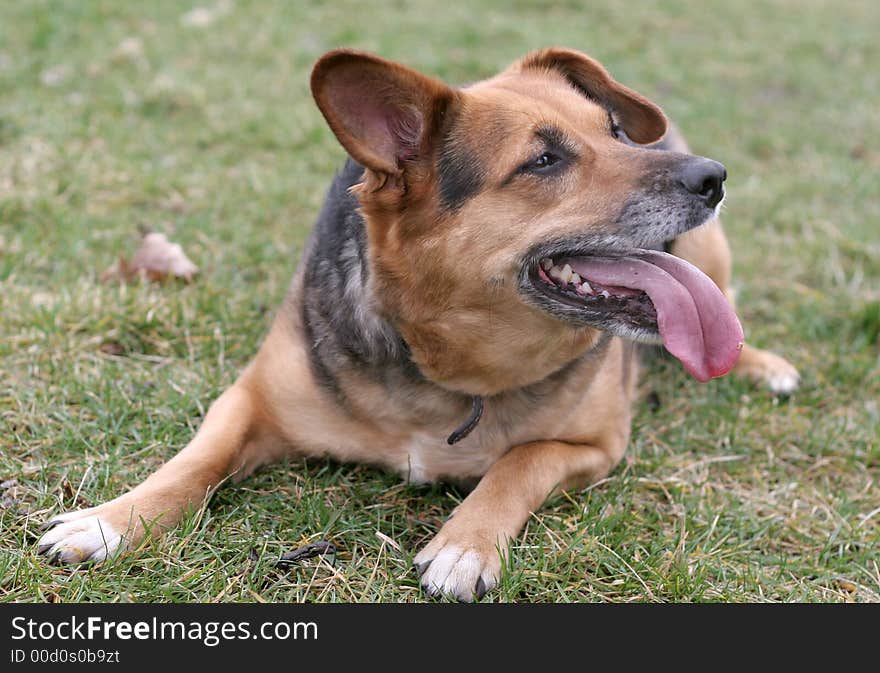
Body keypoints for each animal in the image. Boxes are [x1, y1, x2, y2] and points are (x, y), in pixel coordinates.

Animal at [39, 50, 796, 600]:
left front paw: (466, 544)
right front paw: (110, 521)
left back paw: (764, 366)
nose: (713, 177)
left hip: (708, 252)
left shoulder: (594, 445)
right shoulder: (249, 399)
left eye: (612, 131)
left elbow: (519, 461)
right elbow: (195, 459)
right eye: (543, 159)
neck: (447, 364)